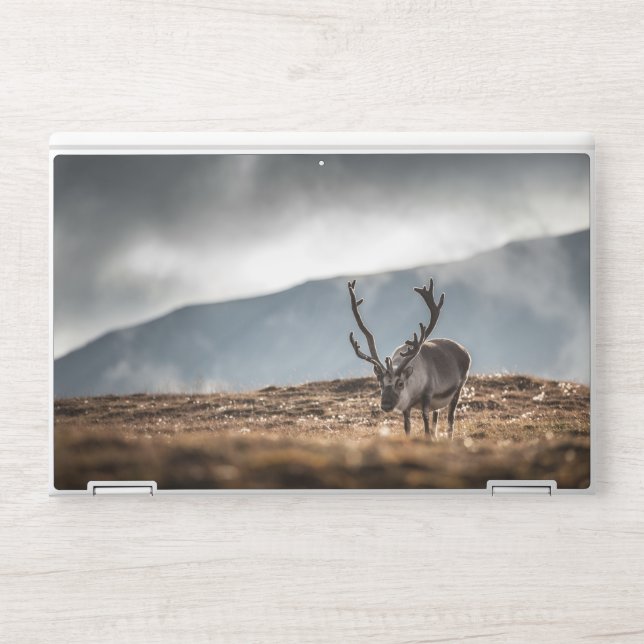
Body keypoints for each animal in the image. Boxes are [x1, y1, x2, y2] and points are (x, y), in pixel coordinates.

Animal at [347, 278, 470, 439]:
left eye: (400, 383)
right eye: (380, 383)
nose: (386, 404)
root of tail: (465, 351)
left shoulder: (428, 395)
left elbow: (425, 423)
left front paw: (428, 438)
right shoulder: (406, 408)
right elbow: (407, 427)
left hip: (458, 389)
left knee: (451, 417)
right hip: (438, 404)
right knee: (436, 417)